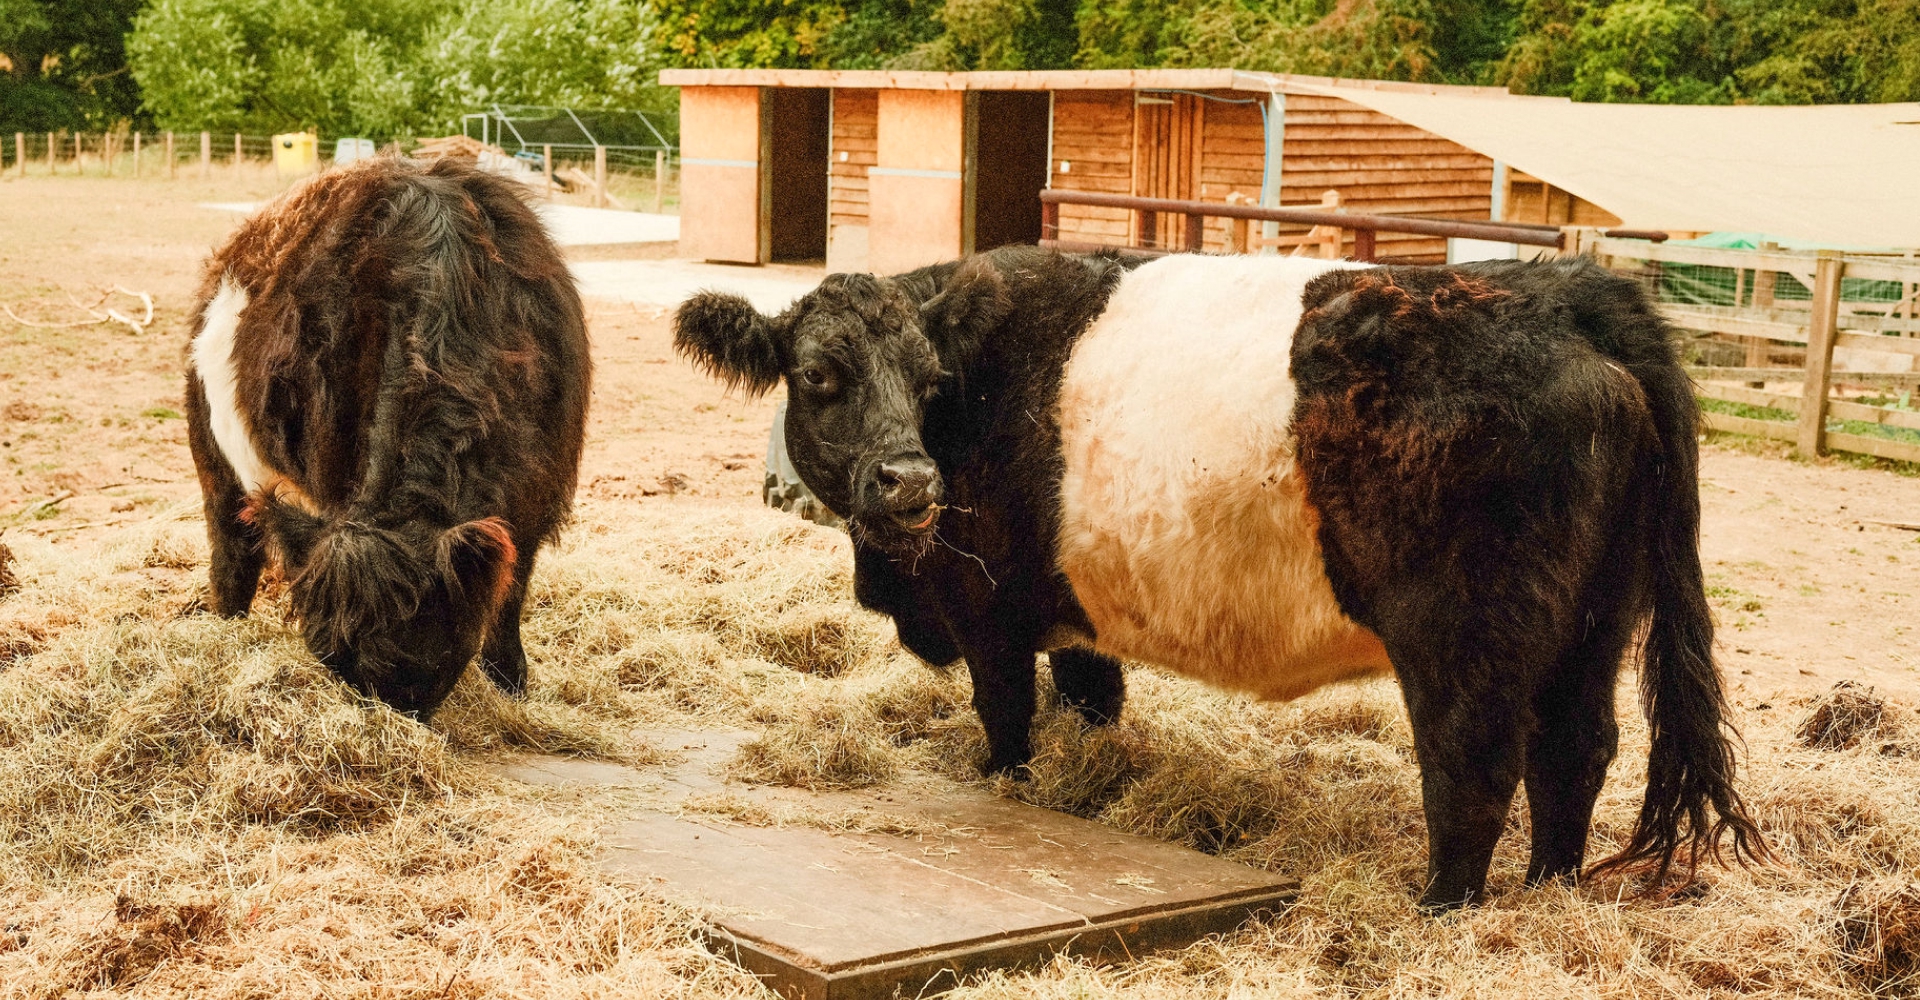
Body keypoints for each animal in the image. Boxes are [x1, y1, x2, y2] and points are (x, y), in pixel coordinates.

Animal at [184, 156, 591, 719]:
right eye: (331, 657)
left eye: (429, 658)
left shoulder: (535, 498)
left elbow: (509, 596)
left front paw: (510, 685)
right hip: (213, 454)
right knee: (231, 549)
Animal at [673, 246, 1767, 910]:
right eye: (819, 375)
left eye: (932, 381)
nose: (909, 480)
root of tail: (1572, 294)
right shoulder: (1079, 620)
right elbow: (1092, 707)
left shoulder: (990, 614)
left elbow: (1007, 725)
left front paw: (1007, 792)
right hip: (1592, 627)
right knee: (1577, 752)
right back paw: (1545, 891)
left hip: (1469, 639)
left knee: (1476, 767)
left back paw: (1441, 907)